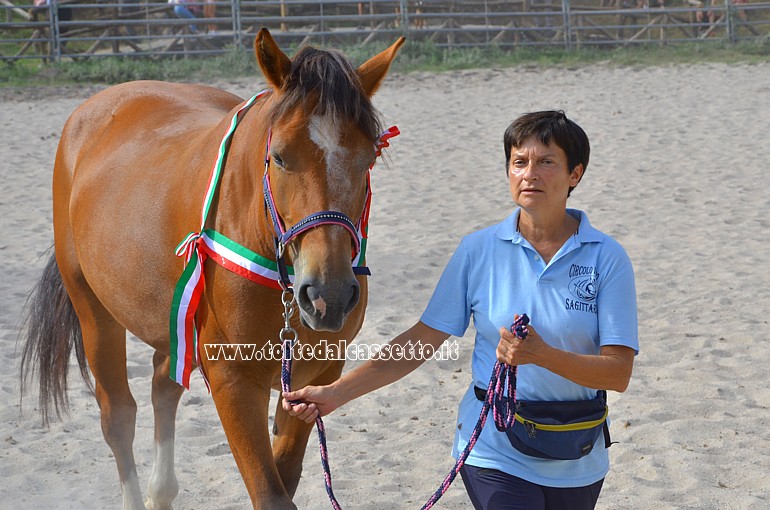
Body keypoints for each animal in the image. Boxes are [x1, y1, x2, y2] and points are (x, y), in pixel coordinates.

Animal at [20, 28, 402, 510]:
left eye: (368, 159)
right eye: (279, 157)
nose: (328, 296)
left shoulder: (317, 378)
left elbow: (286, 477)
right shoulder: (232, 381)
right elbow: (271, 493)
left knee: (161, 388)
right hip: (93, 309)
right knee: (118, 415)